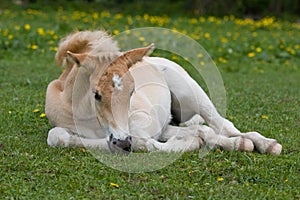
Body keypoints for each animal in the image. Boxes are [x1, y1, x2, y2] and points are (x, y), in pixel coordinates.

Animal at [46, 30, 282, 155]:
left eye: (132, 92)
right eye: (96, 94)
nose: (122, 142)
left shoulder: (144, 122)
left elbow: (145, 140)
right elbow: (57, 136)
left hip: (192, 94)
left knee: (222, 124)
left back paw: (266, 144)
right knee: (205, 129)